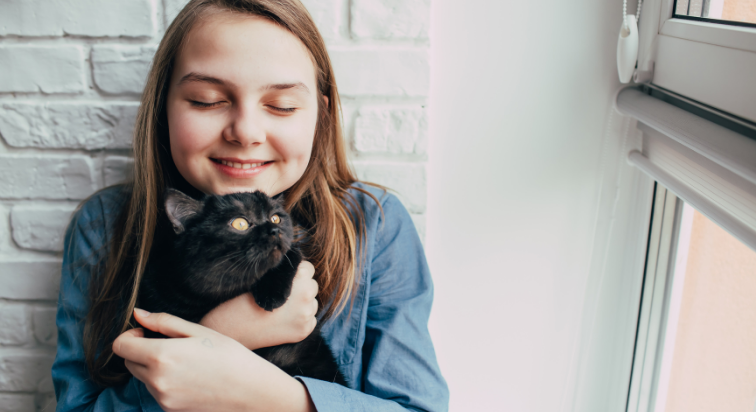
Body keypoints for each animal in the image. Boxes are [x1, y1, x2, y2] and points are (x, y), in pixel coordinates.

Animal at [137, 187, 346, 386]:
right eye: (240, 223)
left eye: (276, 218)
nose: (274, 229)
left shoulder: (291, 250)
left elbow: (287, 257)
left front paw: (272, 295)